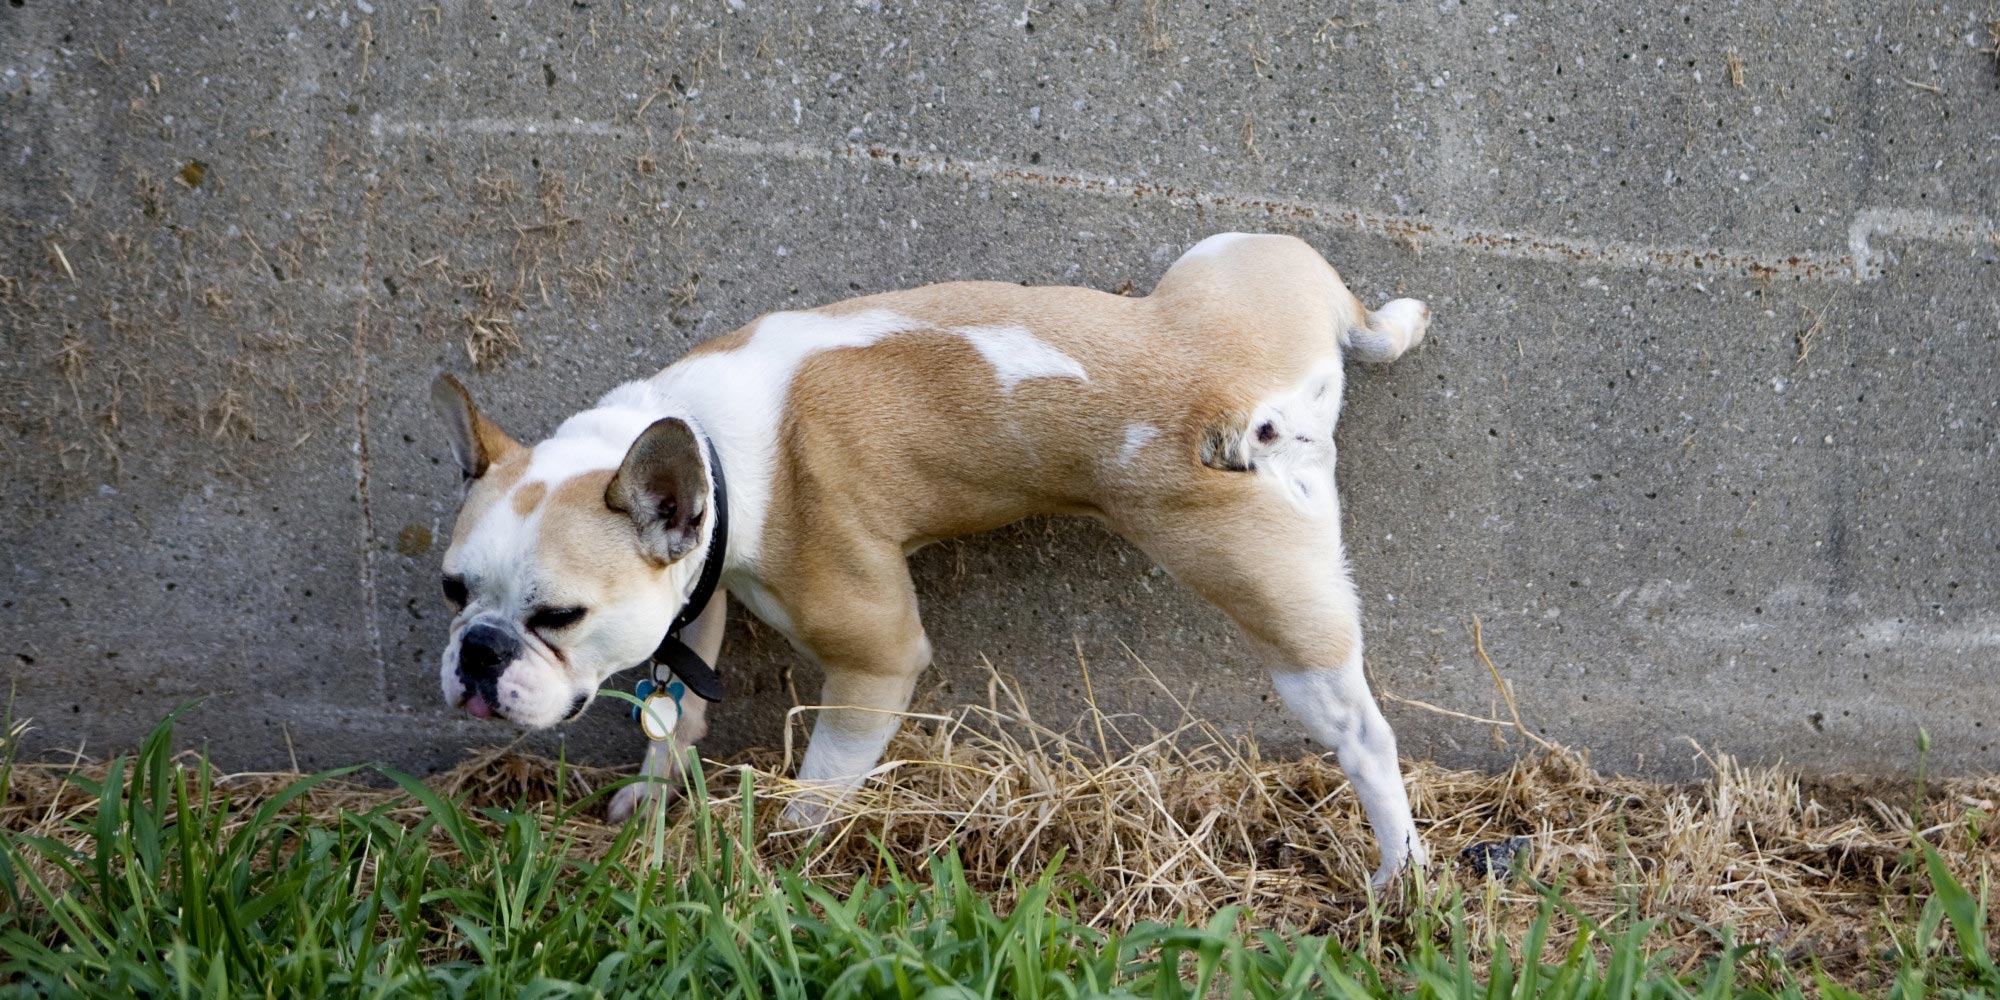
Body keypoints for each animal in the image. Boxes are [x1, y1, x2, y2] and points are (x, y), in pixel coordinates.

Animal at [430, 232, 1432, 884]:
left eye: (558, 617)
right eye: (452, 590)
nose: (477, 652)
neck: (701, 443)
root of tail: (1247, 399)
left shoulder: (873, 658)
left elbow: (823, 778)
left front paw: (784, 849)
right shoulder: (696, 583)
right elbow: (678, 704)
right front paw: (653, 791)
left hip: (1275, 607)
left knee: (1362, 735)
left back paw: (1398, 871)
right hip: (1240, 255)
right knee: (1354, 310)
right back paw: (1399, 321)